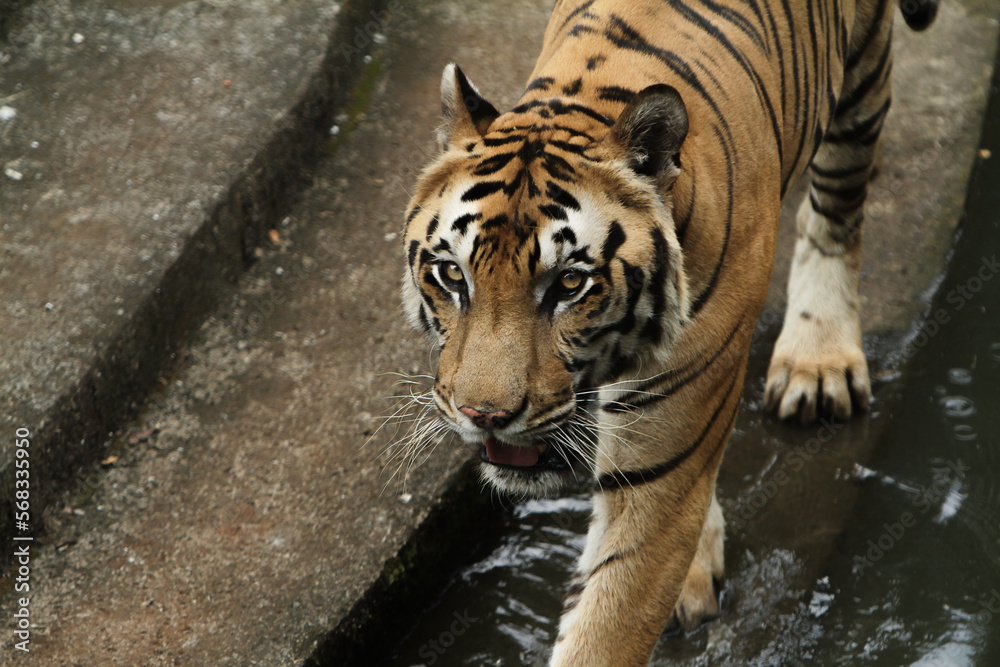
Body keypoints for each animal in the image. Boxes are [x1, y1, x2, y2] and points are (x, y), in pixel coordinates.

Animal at [400, 0, 939, 664]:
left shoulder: (658, 465)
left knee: (837, 208)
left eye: (570, 284)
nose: (485, 416)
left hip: (861, 84)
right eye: (452, 274)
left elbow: (607, 623)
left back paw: (818, 361)